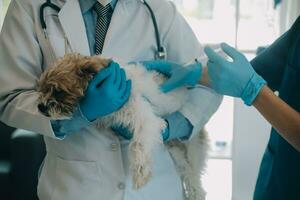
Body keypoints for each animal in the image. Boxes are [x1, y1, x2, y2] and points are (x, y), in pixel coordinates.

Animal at [37, 54, 209, 199]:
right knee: (186, 169)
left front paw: (141, 175)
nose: (40, 107)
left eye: (58, 91)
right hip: (175, 150)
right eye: (42, 89)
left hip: (193, 146)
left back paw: (197, 193)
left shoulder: (146, 120)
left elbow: (137, 145)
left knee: (194, 174)